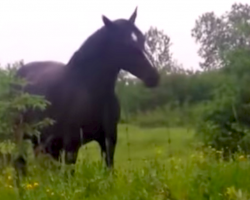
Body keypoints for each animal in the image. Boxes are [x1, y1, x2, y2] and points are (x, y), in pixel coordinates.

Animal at [16, 7, 159, 169]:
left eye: (142, 39)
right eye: (123, 43)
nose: (153, 77)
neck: (91, 91)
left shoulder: (108, 141)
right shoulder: (72, 145)